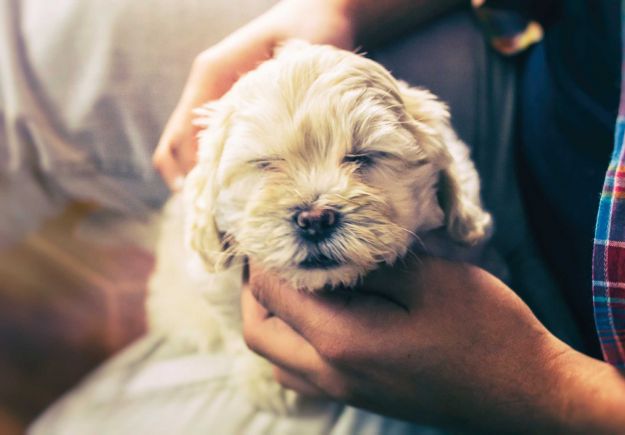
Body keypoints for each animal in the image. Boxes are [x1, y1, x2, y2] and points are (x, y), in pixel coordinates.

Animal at [147, 42, 492, 414]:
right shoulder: (211, 276)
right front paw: (264, 376)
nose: (314, 219)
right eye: (265, 164)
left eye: (362, 156)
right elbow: (232, 318)